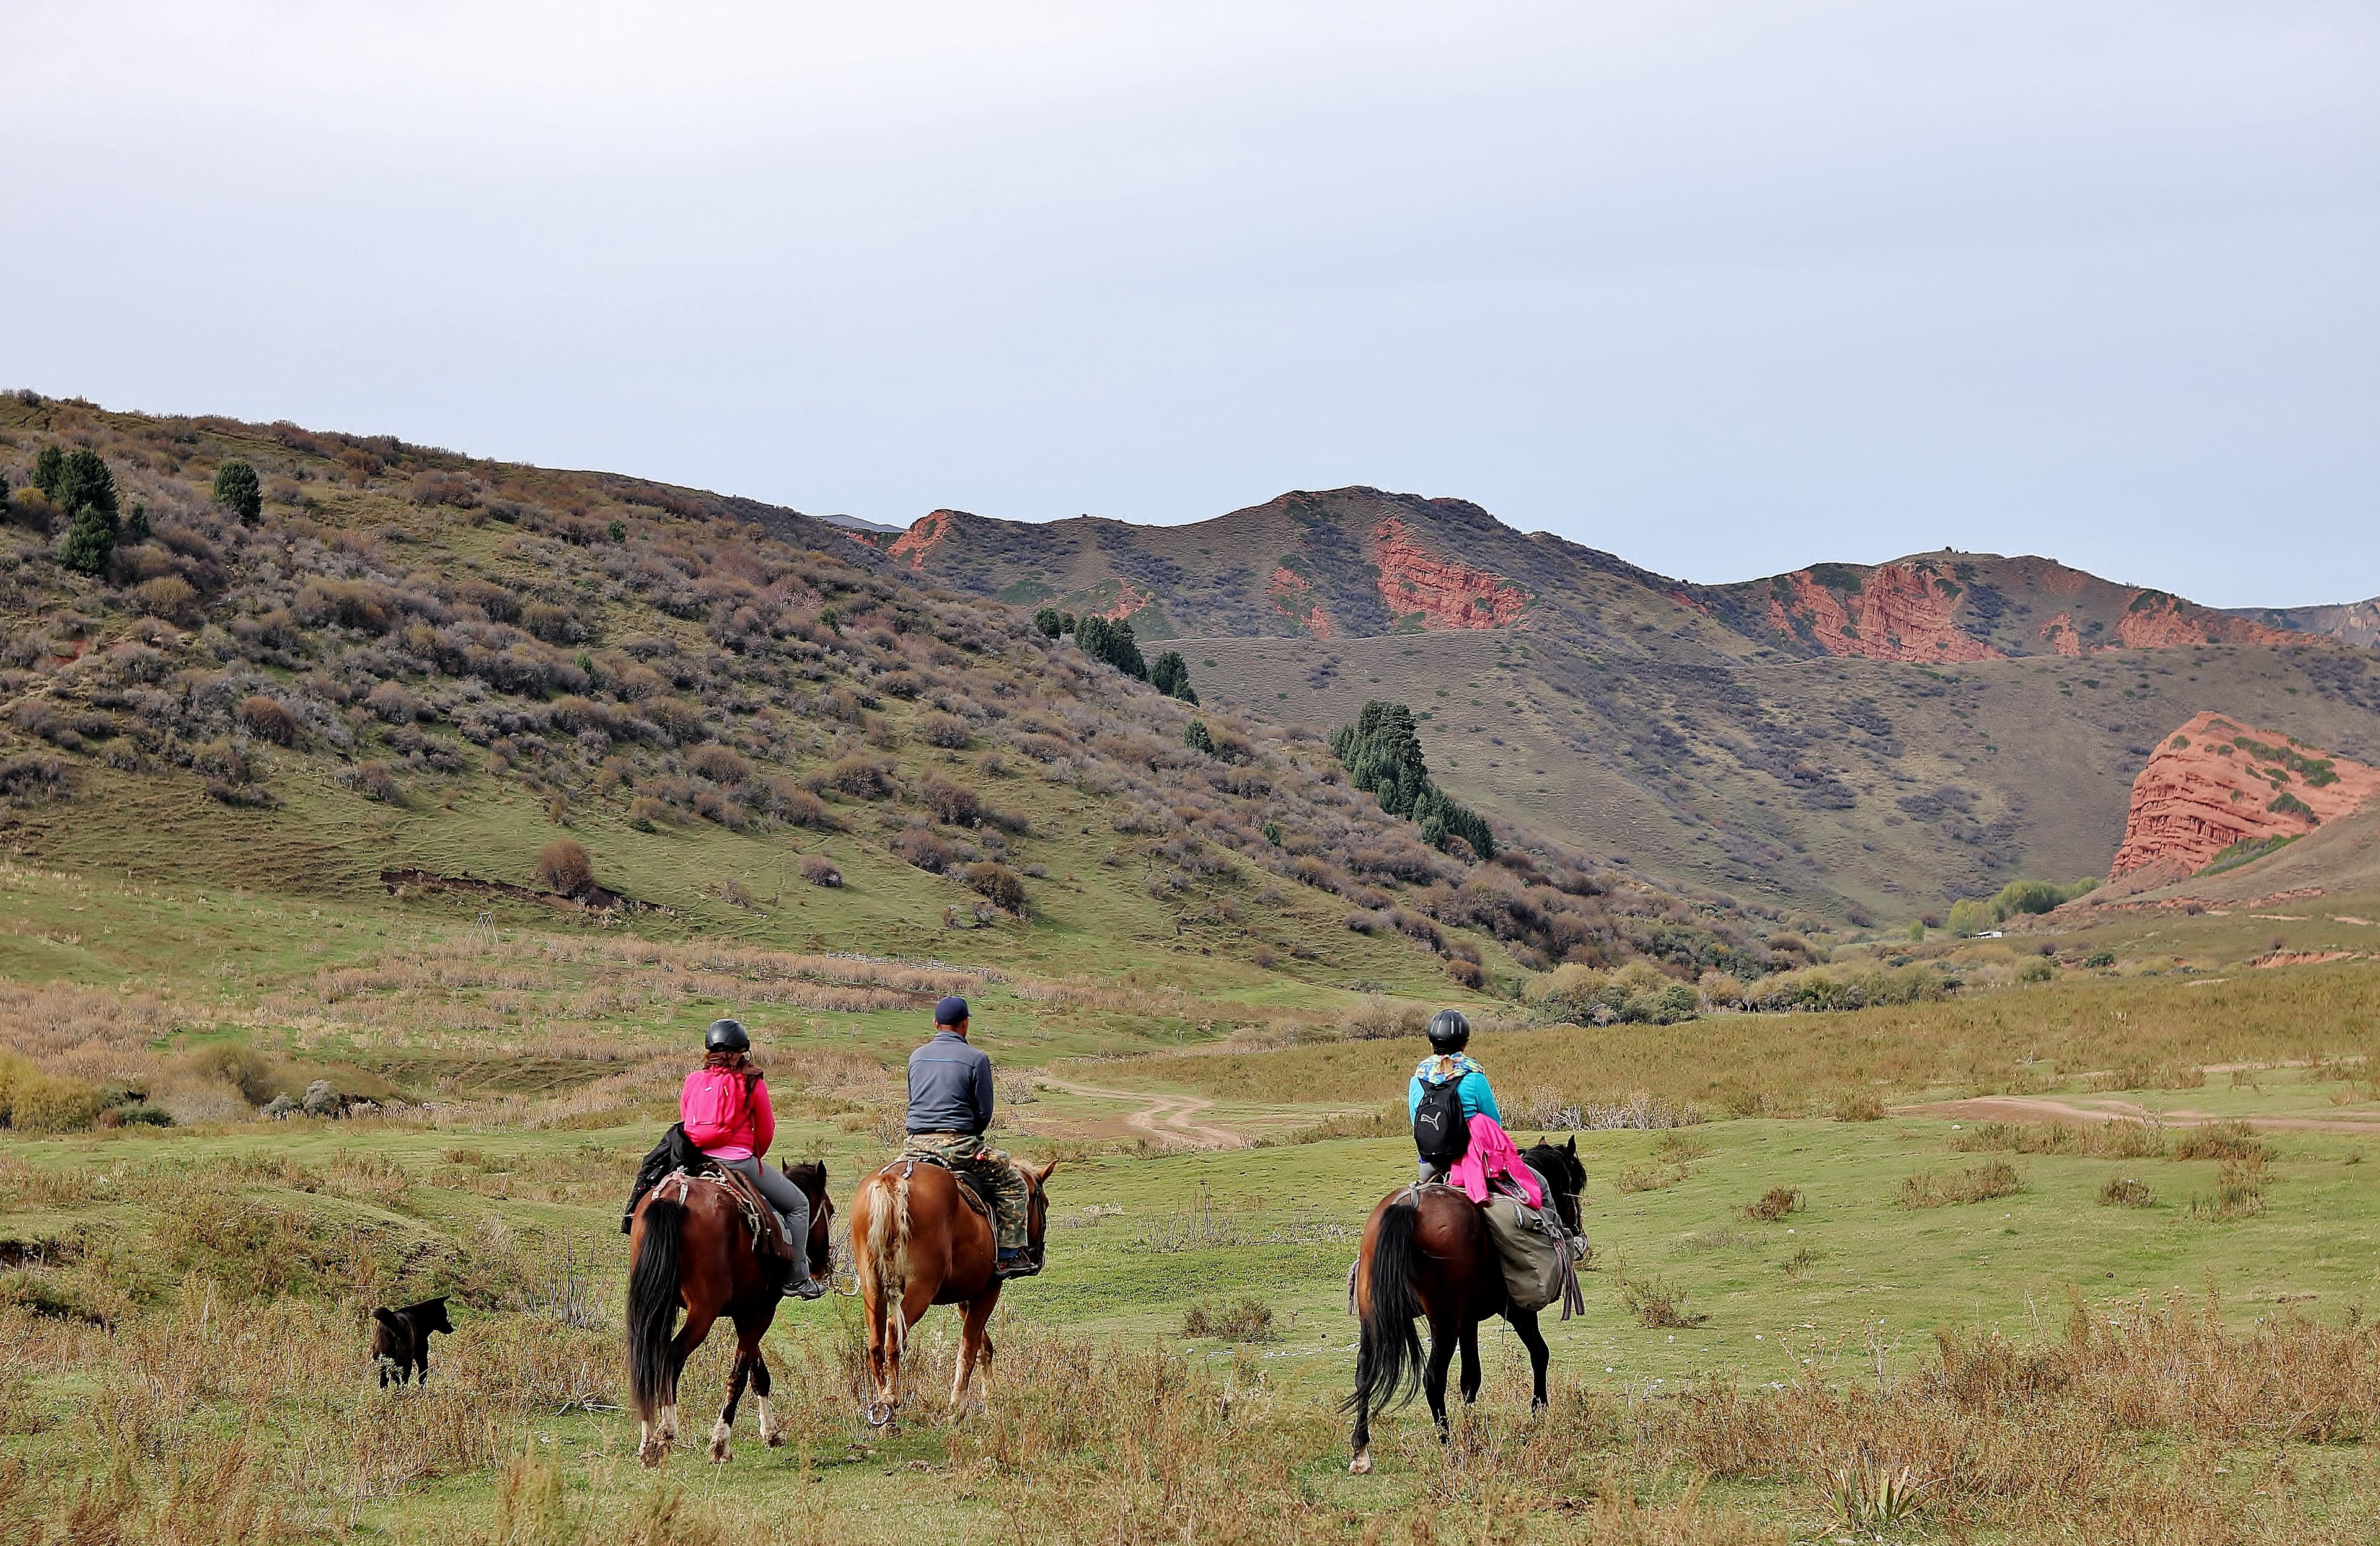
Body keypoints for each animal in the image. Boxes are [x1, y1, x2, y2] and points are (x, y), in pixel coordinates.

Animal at [369, 1286, 452, 1391]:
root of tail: (393, 1324)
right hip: (405, 1361)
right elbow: (423, 1378)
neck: (419, 1318)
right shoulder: (422, 1357)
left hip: (382, 1360)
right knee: (400, 1379)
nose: (452, 1329)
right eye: (445, 1315)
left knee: (385, 1380)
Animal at [628, 1152, 833, 1467]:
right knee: (670, 1356)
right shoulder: (761, 1312)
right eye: (830, 1212)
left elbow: (758, 1374)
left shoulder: (746, 1311)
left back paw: (648, 1441)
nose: (822, 1265)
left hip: (653, 1305)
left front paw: (771, 1433)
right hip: (703, 1311)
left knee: (647, 1360)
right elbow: (739, 1375)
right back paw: (666, 1431)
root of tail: (673, 1195)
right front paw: (721, 1443)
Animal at [847, 1157, 1052, 1420]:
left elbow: (983, 1346)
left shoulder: (966, 1297)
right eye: (1044, 1203)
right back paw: (891, 1396)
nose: (1038, 1255)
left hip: (872, 1287)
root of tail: (892, 1180)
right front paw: (959, 1406)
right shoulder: (988, 1291)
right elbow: (969, 1349)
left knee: (875, 1343)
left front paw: (989, 1398)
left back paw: (883, 1407)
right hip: (921, 1288)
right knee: (894, 1330)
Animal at [1352, 1134, 1590, 1467]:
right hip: (1444, 1322)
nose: (1577, 1229)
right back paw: (1448, 1446)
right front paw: (1538, 1412)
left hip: (1375, 1315)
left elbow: (1470, 1378)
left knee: (1364, 1371)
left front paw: (1472, 1425)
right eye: (1575, 1182)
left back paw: (1361, 1449)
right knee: (1433, 1378)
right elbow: (1539, 1353)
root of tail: (1409, 1207)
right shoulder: (1516, 1311)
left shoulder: (1468, 1321)